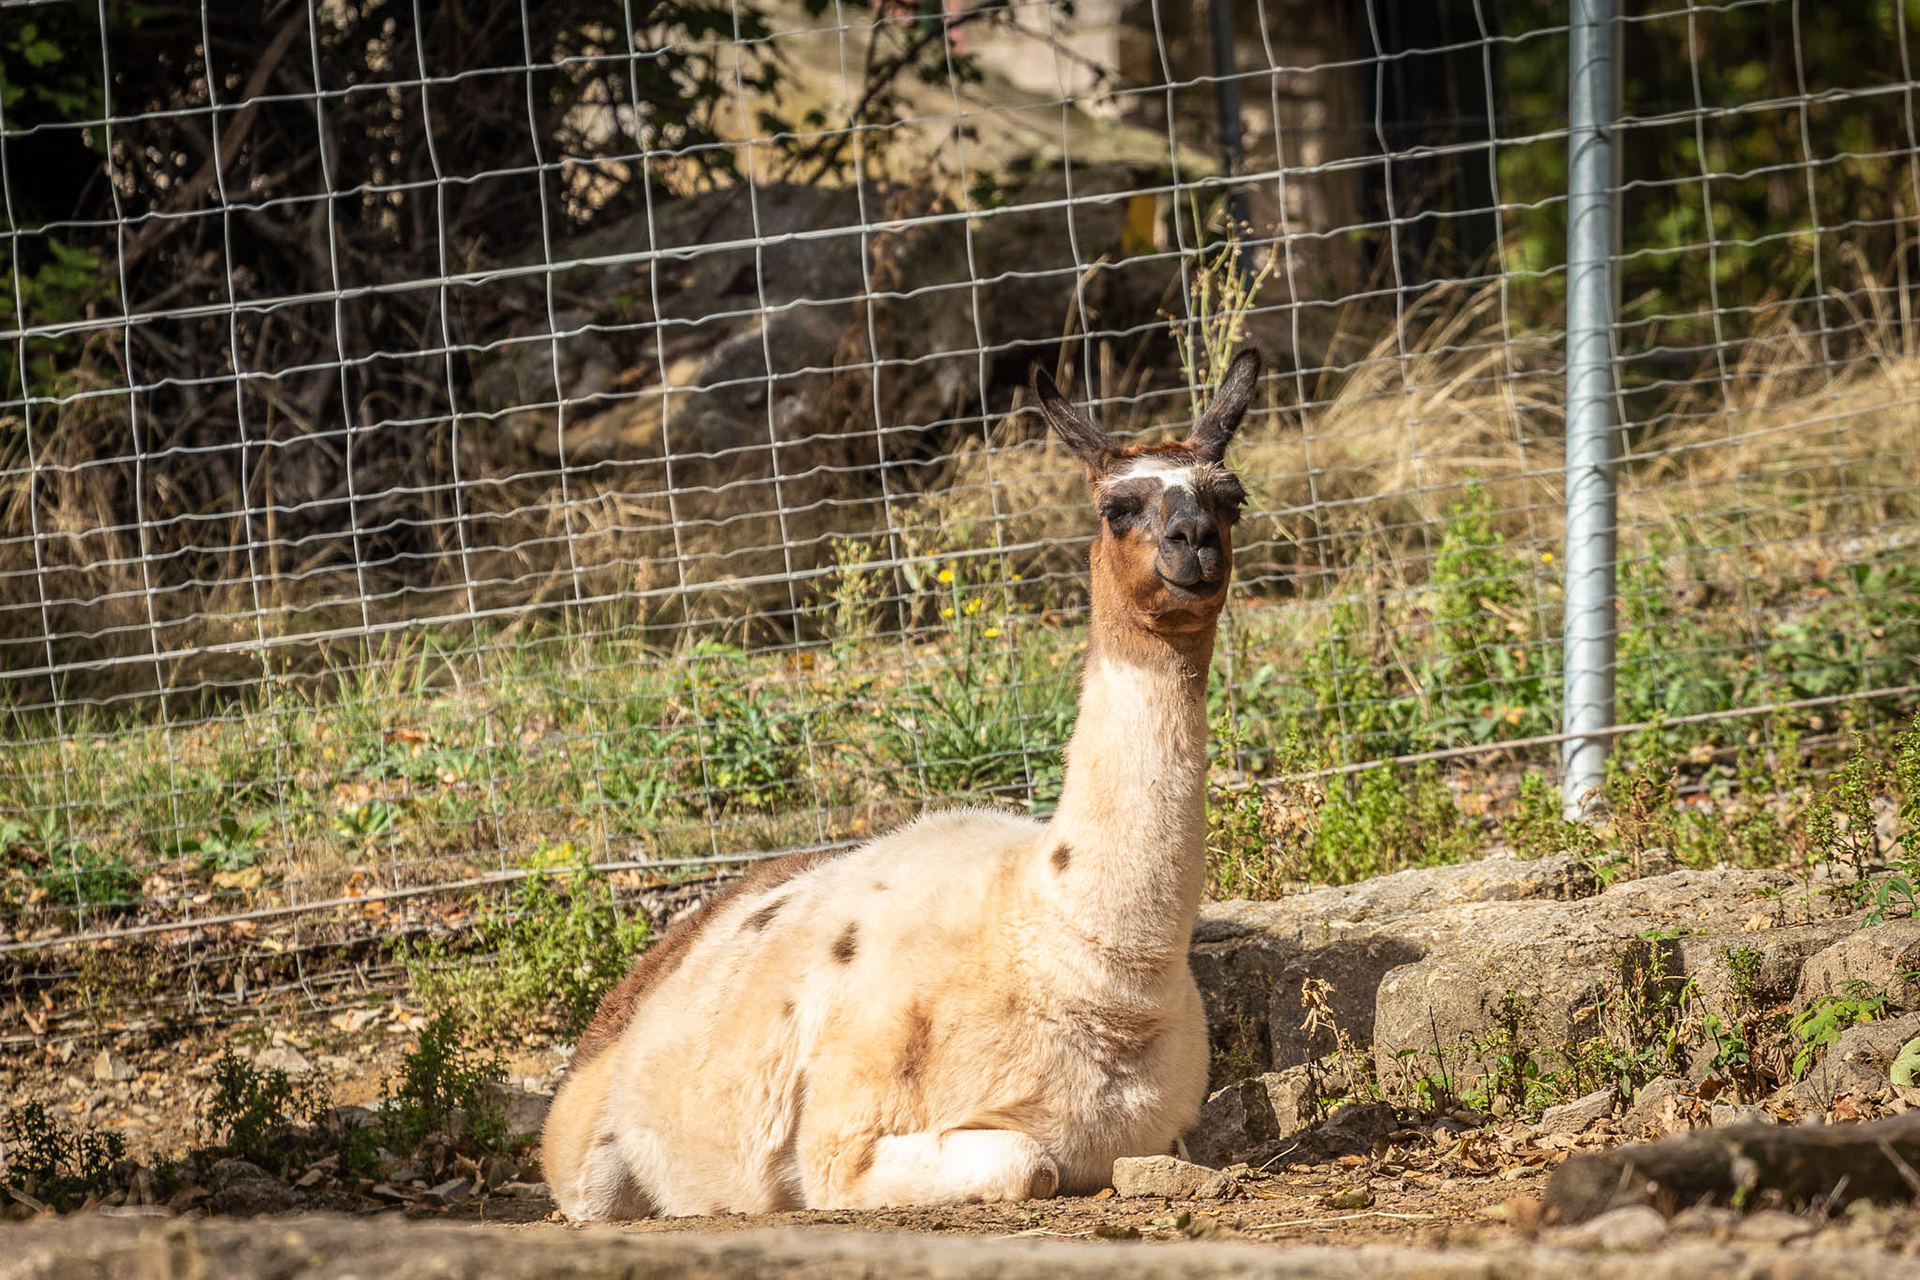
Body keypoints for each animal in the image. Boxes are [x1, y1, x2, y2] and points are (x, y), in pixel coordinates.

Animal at [542, 348, 1261, 1219]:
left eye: (1231, 497)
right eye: (1116, 506)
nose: (1193, 542)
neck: (1073, 958)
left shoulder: (1157, 1127)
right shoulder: (844, 1137)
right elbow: (1028, 1162)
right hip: (588, 1159)